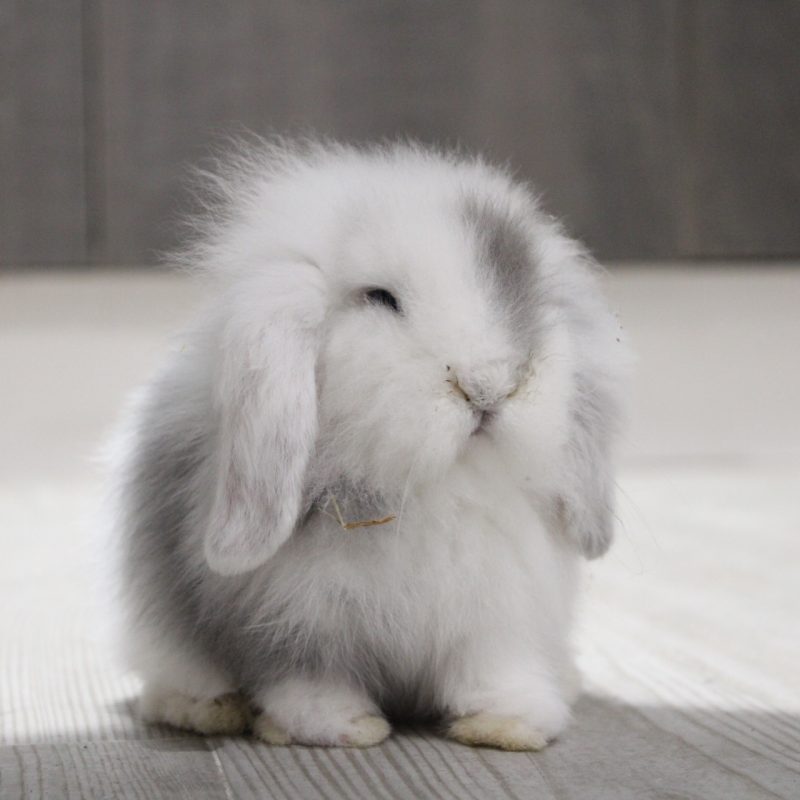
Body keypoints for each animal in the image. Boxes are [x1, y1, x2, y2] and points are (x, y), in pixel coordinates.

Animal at [108, 138, 629, 751]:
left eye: (529, 295)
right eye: (380, 298)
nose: (489, 385)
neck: (435, 488)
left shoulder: (496, 619)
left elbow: (493, 673)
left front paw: (509, 726)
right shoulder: (293, 625)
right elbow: (307, 681)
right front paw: (344, 728)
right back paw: (207, 710)